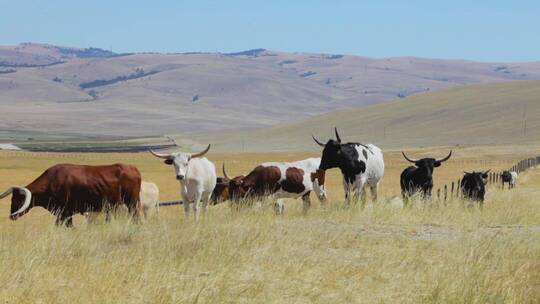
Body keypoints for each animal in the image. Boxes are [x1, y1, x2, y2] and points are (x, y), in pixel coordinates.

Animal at [0, 164, 141, 226]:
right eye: (12, 199)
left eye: (19, 200)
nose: (12, 216)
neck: (52, 181)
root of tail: (133, 168)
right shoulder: (62, 214)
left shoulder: (65, 213)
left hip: (132, 204)